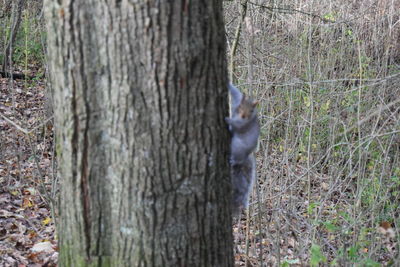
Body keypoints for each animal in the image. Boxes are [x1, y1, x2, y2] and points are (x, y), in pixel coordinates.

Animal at [225, 84, 260, 216]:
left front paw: (228, 120)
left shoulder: (244, 124)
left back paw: (233, 161)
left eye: (251, 111)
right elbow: (236, 93)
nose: (244, 116)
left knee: (238, 160)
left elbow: (238, 125)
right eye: (240, 106)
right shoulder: (237, 99)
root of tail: (246, 155)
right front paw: (228, 84)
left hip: (237, 147)